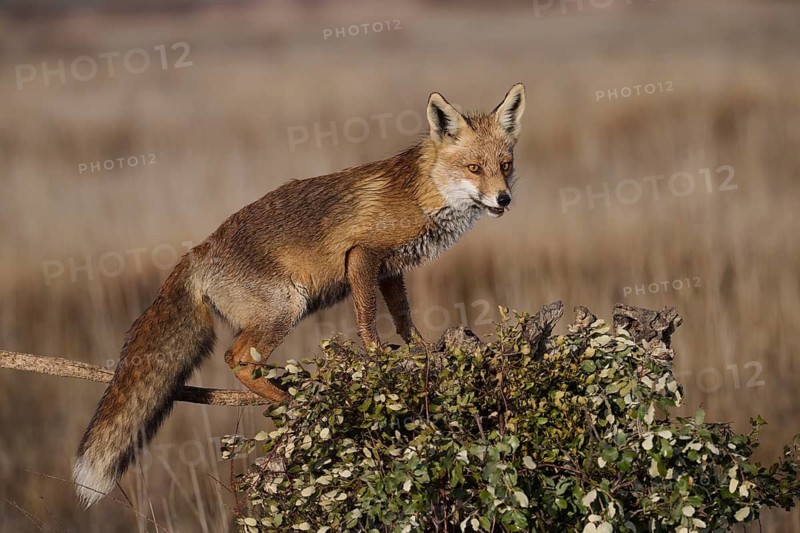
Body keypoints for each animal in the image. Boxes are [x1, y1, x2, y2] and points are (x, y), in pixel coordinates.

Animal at [73, 83, 526, 506]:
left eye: (504, 166)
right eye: (473, 168)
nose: (504, 199)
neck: (423, 193)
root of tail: (197, 251)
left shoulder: (390, 268)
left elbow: (403, 318)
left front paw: (421, 350)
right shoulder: (362, 255)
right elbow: (368, 320)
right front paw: (378, 360)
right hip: (287, 307)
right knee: (236, 359)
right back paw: (290, 400)